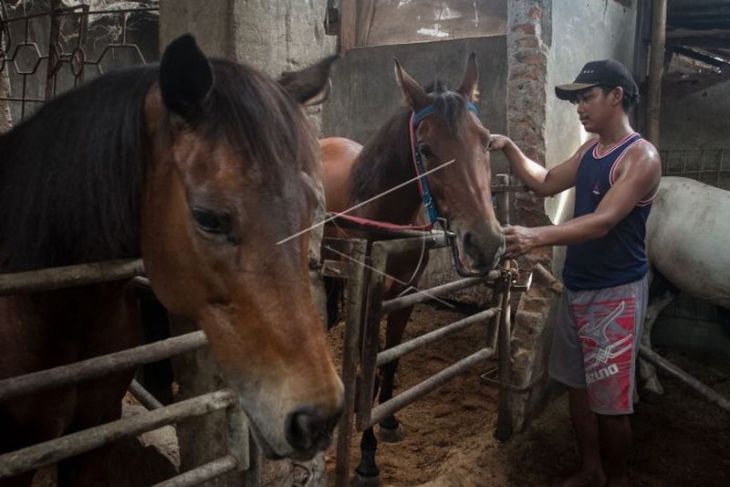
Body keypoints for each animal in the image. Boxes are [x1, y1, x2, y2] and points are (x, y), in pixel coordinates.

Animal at [322, 55, 504, 482]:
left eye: (486, 141)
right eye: (425, 148)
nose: (485, 241)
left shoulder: (403, 296)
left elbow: (390, 360)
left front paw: (388, 422)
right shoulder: (368, 302)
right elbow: (367, 370)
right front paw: (366, 457)